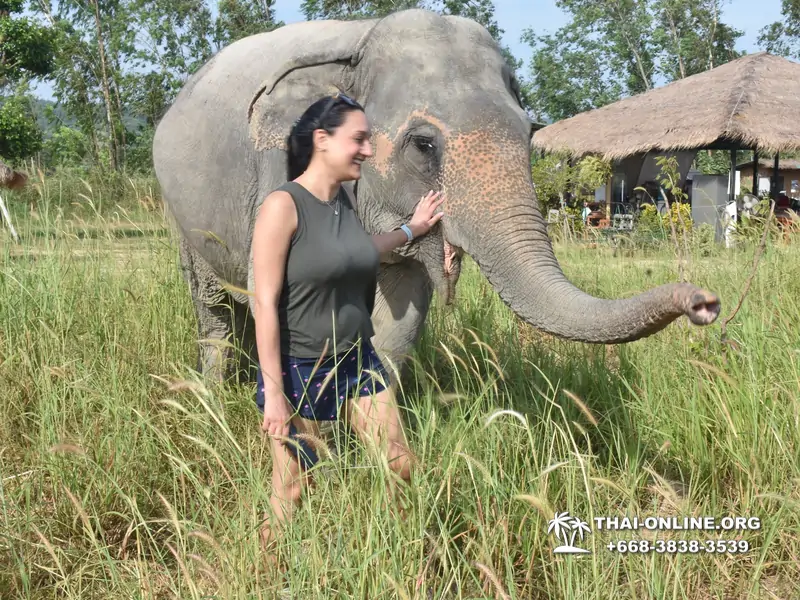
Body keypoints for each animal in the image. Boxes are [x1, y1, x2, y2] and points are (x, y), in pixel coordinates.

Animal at [150, 8, 720, 384]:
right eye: (424, 145)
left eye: (530, 133)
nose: (705, 303)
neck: (362, 39)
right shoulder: (275, 174)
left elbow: (398, 320)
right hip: (182, 218)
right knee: (213, 308)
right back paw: (216, 393)